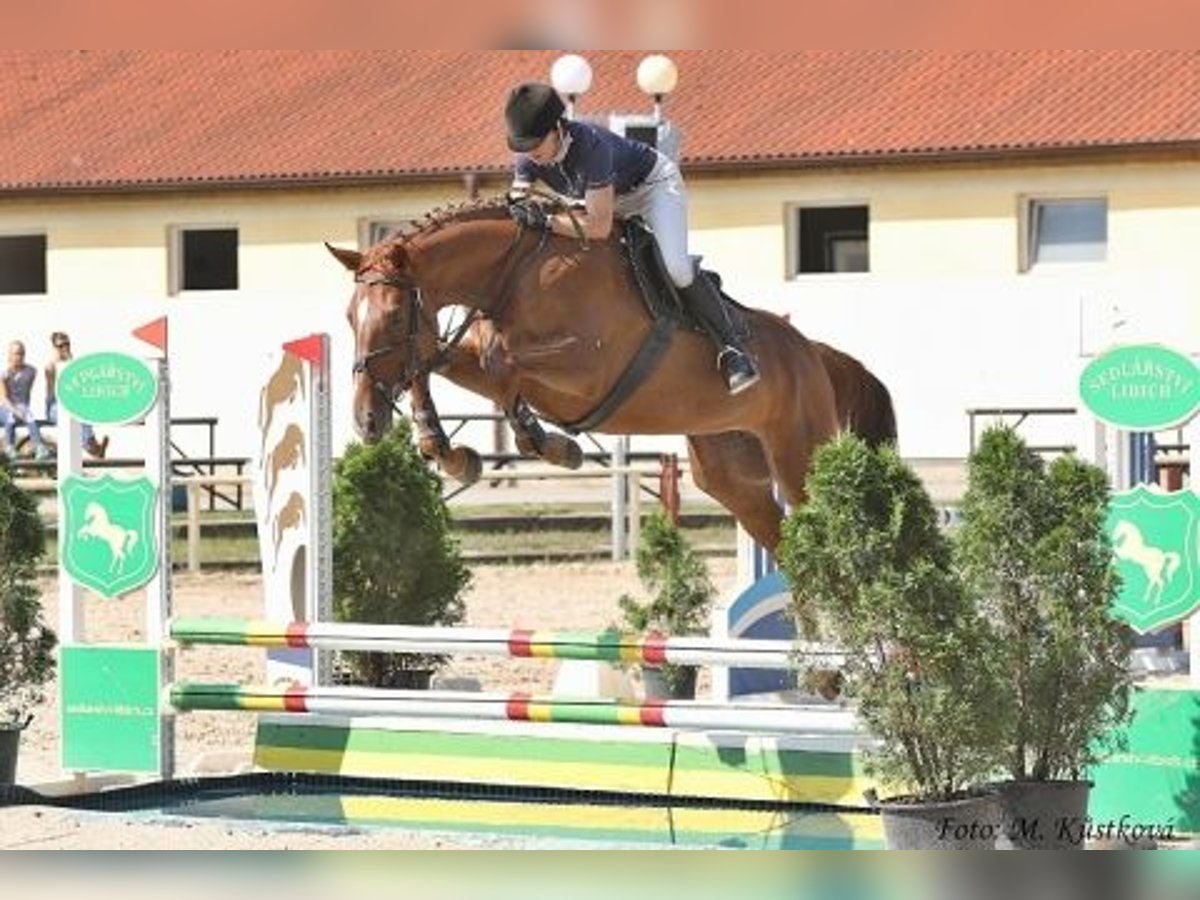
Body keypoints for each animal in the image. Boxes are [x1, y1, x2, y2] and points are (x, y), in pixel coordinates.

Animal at [330, 197, 892, 553]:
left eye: (394, 317)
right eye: (351, 317)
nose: (366, 421)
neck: (514, 273)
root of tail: (814, 352)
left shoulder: (588, 371)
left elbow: (501, 366)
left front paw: (548, 443)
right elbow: (437, 361)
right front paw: (447, 451)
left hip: (801, 457)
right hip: (731, 475)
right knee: (790, 552)